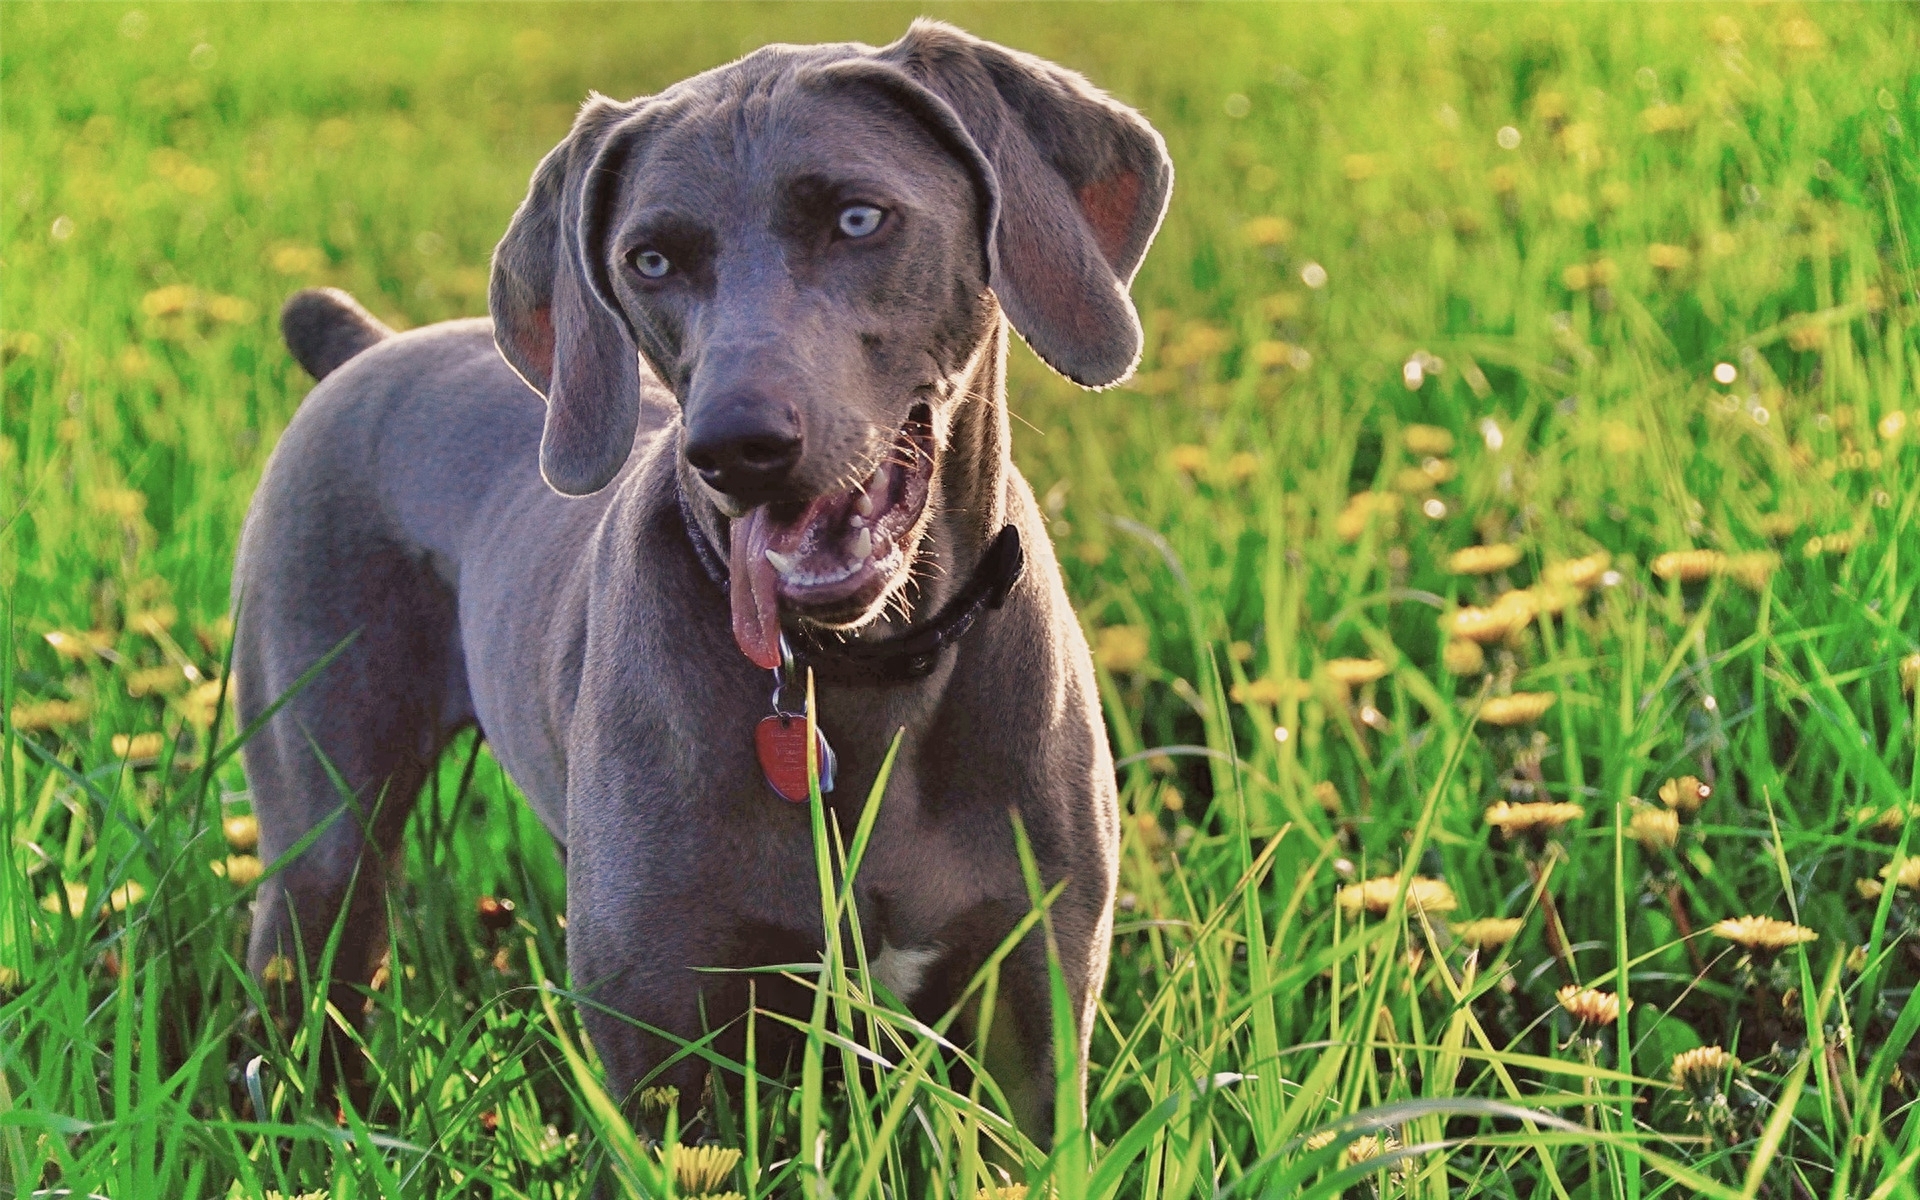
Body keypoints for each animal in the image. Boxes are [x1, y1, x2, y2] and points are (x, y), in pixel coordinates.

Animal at [236, 21, 1167, 1144]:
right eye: (650, 259)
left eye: (859, 218)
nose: (737, 447)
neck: (861, 677)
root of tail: (363, 351)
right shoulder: (669, 1052)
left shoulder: (1029, 1034)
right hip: (322, 832)